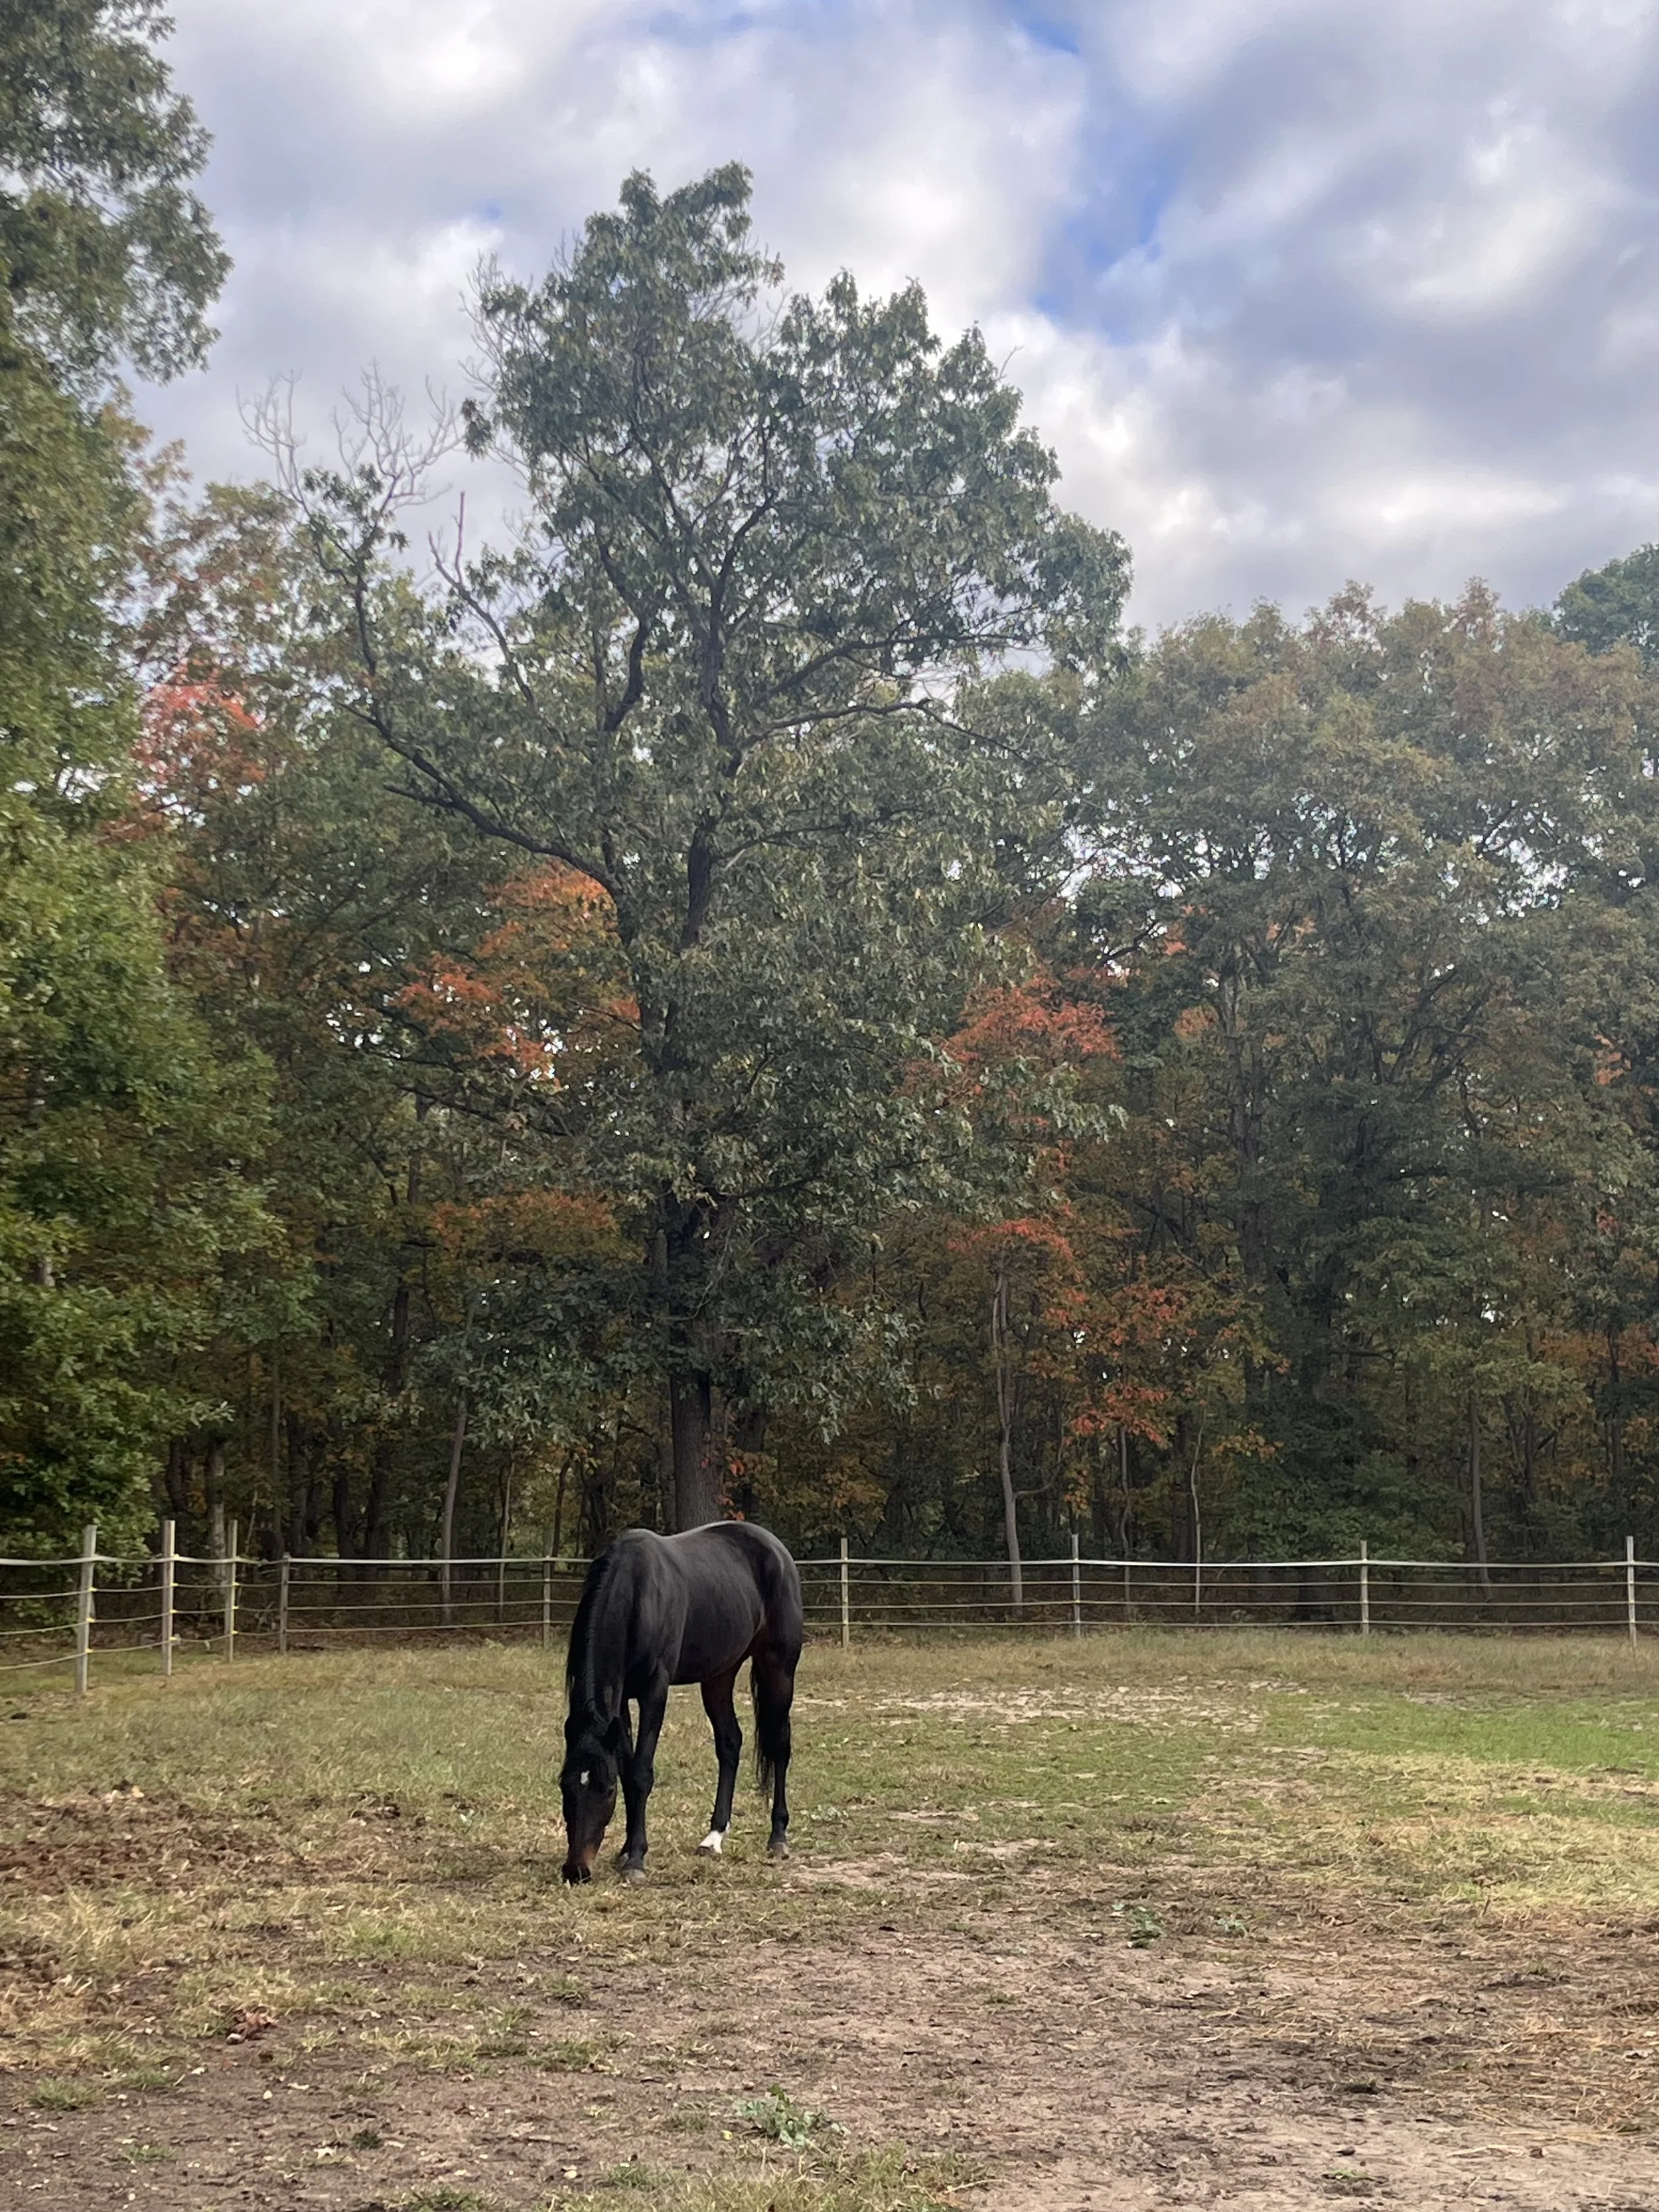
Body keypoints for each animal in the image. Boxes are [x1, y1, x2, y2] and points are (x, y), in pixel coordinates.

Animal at [558, 1520, 803, 1885]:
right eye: (564, 1786)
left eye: (606, 1790)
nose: (576, 1871)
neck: (637, 1595)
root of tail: (777, 1550)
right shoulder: (620, 1701)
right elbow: (628, 1768)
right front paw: (626, 1851)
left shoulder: (654, 1692)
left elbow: (640, 1773)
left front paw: (636, 1861)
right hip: (719, 1676)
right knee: (730, 1744)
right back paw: (713, 1838)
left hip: (779, 1669)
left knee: (780, 1747)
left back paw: (777, 1838)